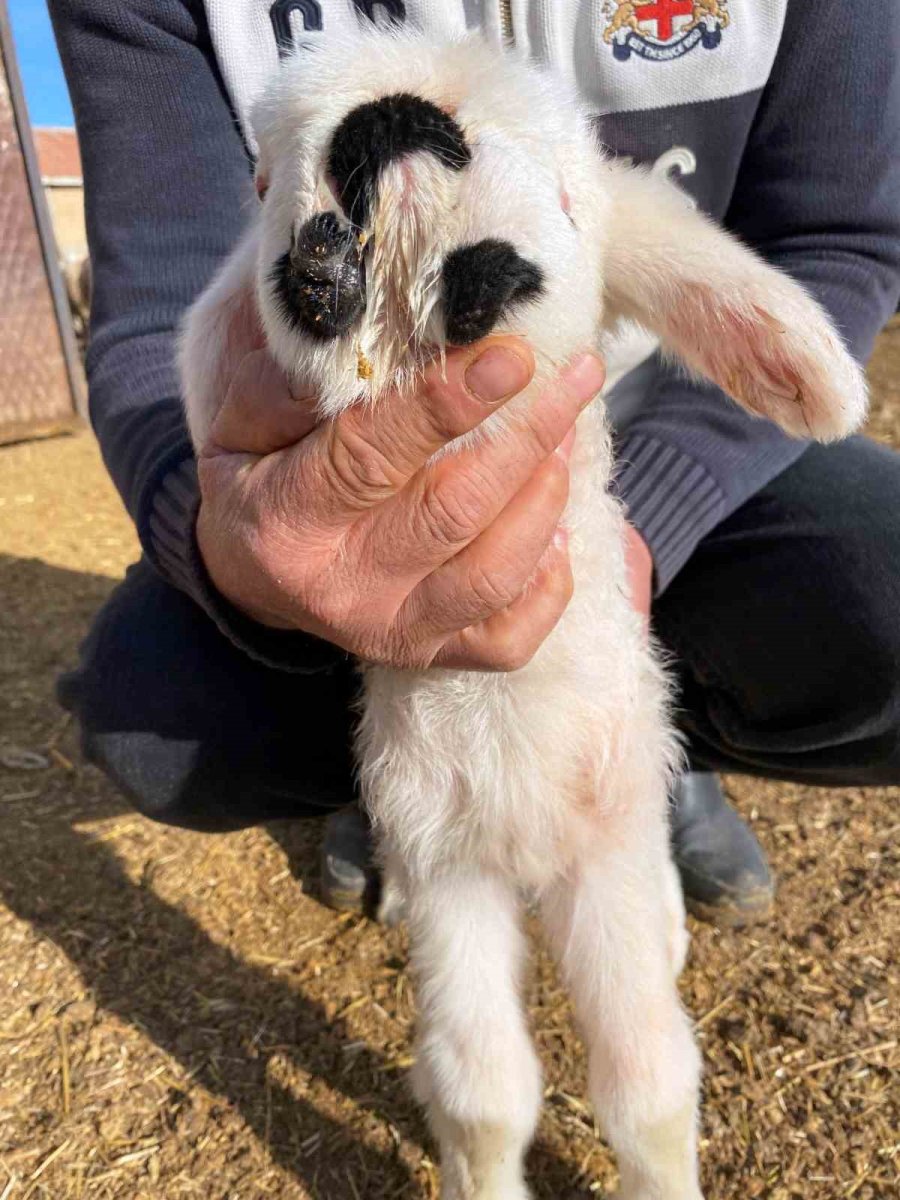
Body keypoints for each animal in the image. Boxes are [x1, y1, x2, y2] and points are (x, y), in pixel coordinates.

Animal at [181, 21, 868, 1200]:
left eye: (565, 192)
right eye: (266, 182)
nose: (395, 117)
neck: (501, 714)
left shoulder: (605, 862)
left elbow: (646, 1089)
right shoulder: (451, 872)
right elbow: (484, 1093)